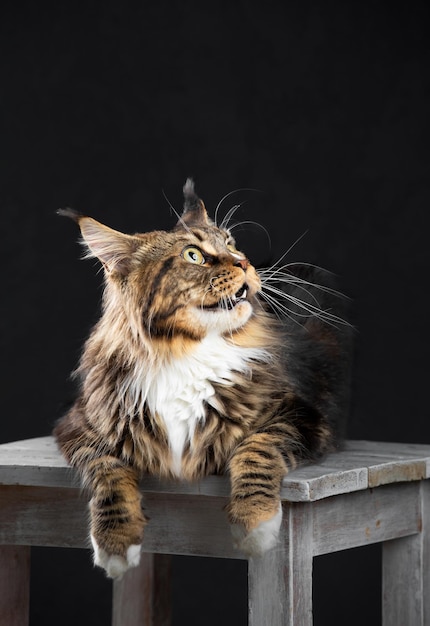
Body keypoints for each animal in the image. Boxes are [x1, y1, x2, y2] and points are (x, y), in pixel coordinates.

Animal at [53, 176, 352, 576]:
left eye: (231, 243)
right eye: (193, 255)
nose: (245, 262)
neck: (184, 353)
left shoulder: (302, 414)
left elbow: (257, 447)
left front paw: (254, 522)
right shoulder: (81, 425)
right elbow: (108, 470)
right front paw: (115, 543)